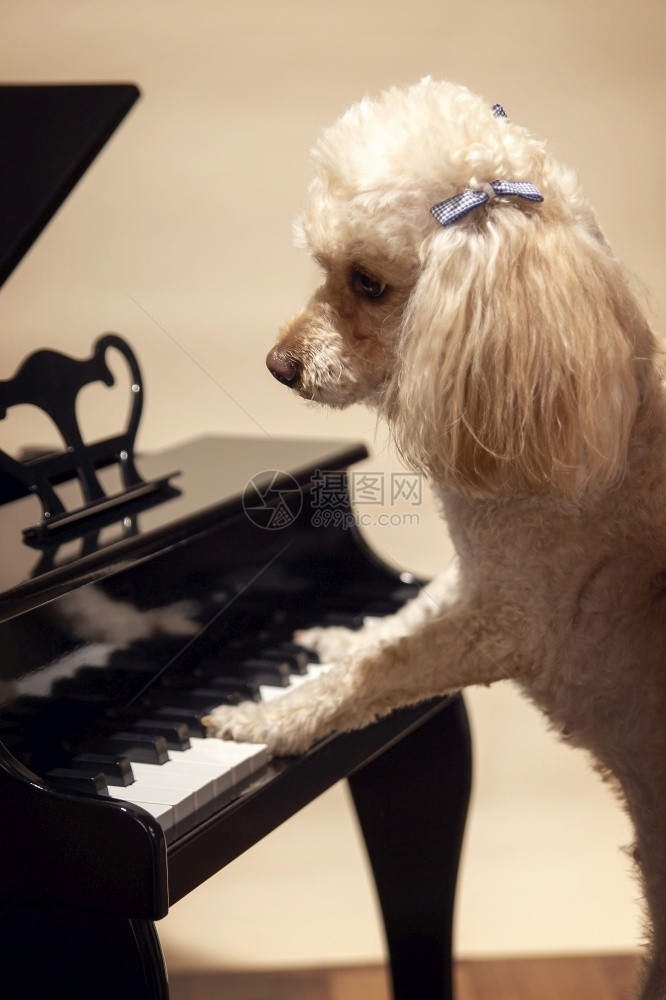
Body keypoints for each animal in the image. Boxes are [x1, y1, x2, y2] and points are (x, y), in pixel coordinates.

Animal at [204, 80, 664, 1000]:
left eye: (368, 282)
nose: (278, 366)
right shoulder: (474, 577)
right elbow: (390, 630)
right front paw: (328, 641)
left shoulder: (508, 621)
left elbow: (378, 674)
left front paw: (264, 715)